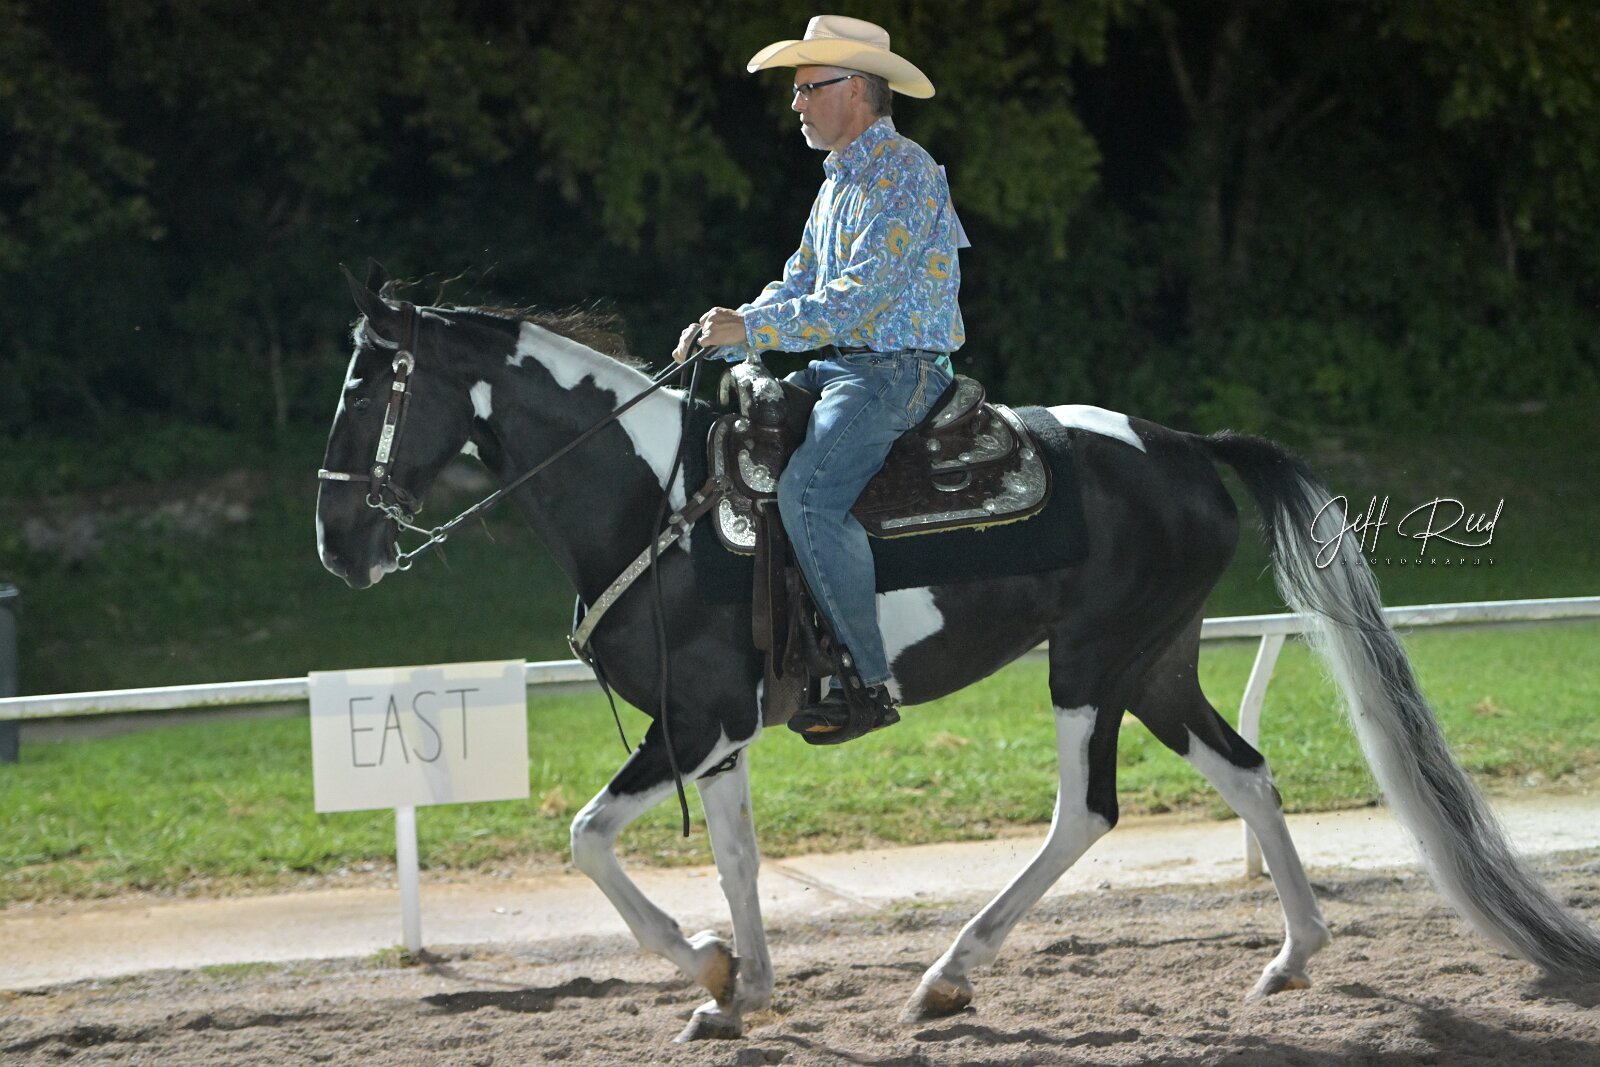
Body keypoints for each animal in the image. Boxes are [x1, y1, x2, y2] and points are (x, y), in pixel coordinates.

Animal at [316, 267, 1600, 1042]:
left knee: (1085, 813)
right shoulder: (719, 732)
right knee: (1245, 770)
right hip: (1154, 664)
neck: (654, 499)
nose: (336, 542)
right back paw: (1291, 956)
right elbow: (735, 859)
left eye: (369, 387)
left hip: (1089, 665)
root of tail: (1187, 445)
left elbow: (589, 837)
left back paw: (948, 972)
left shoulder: (697, 725)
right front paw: (741, 989)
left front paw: (707, 967)